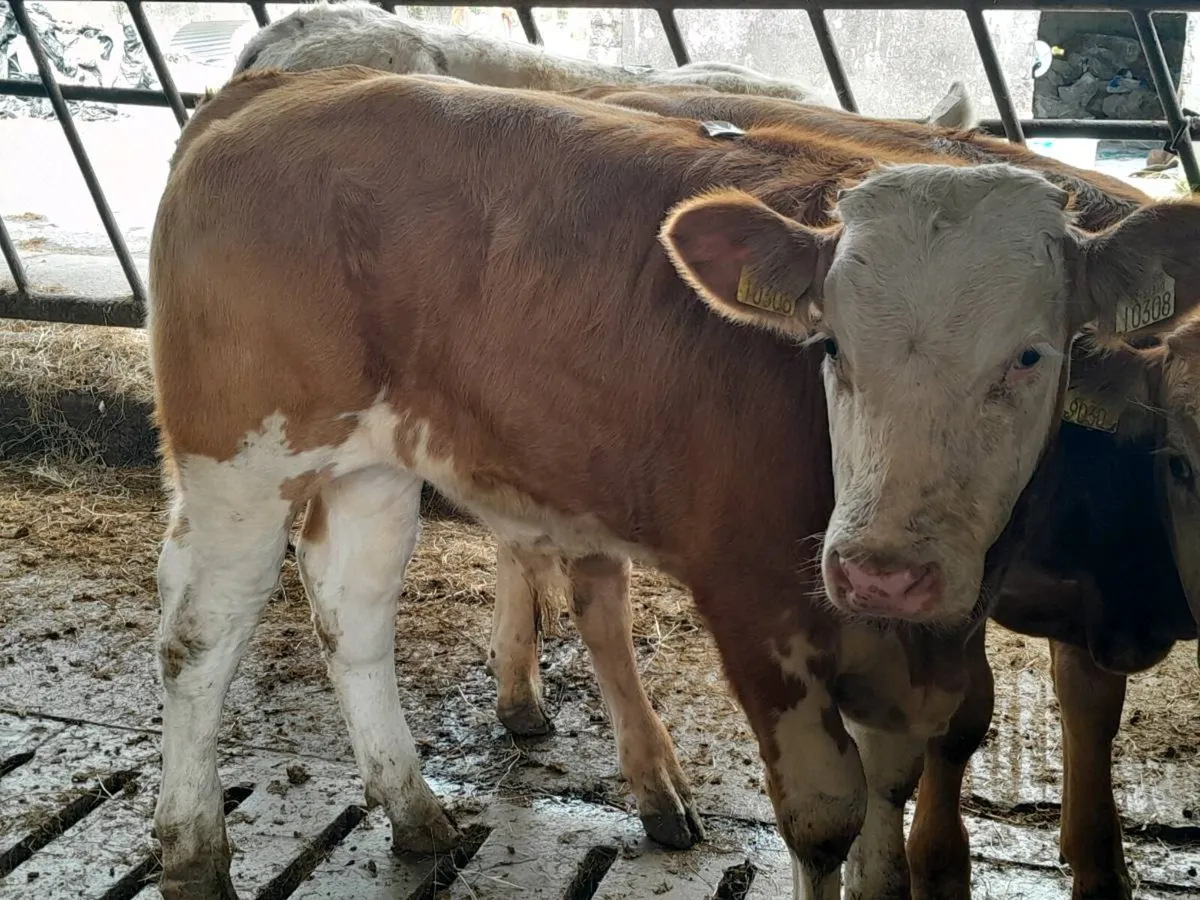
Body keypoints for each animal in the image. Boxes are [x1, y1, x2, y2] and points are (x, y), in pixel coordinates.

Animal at [146, 65, 1200, 900]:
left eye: (1031, 355)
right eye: (828, 345)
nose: (882, 570)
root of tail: (277, 89)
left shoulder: (923, 648)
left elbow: (888, 797)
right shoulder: (756, 603)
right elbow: (825, 816)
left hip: (374, 462)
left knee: (352, 614)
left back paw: (413, 811)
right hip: (240, 454)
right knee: (201, 634)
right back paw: (193, 854)